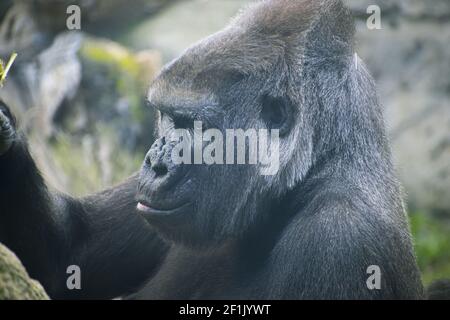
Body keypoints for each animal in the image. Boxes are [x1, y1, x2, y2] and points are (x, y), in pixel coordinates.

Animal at [0, 0, 426, 300]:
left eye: (190, 125)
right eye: (167, 118)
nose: (154, 163)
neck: (318, 167)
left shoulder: (340, 239)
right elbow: (66, 255)